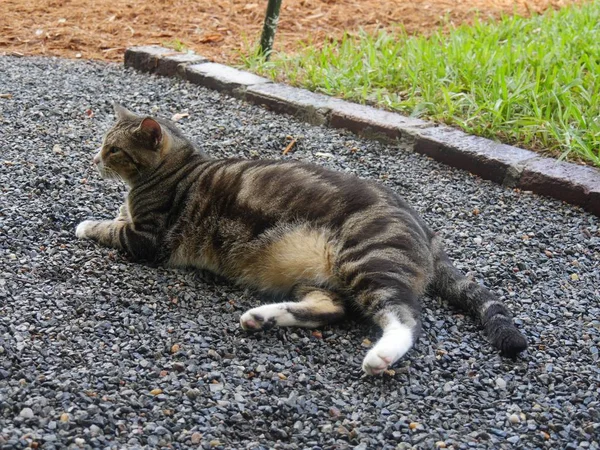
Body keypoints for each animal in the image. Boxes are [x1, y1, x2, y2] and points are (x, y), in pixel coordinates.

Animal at [76, 103, 528, 374]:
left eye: (113, 149)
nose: (94, 158)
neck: (177, 166)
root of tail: (422, 224)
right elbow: (115, 217)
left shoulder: (147, 238)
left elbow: (108, 227)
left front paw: (86, 224)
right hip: (317, 277)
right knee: (332, 310)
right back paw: (263, 317)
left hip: (367, 261)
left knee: (405, 317)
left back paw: (380, 355)